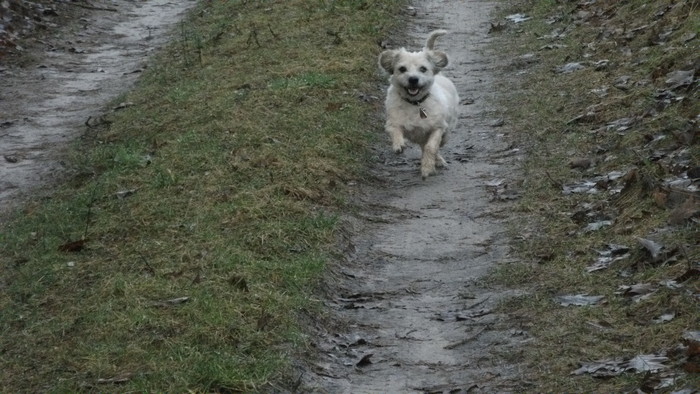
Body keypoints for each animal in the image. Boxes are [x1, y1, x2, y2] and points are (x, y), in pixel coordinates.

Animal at [378, 30, 460, 179]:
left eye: (423, 69)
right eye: (402, 69)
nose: (413, 79)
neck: (415, 104)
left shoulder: (437, 128)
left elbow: (431, 147)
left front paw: (427, 167)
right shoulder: (393, 122)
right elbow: (395, 130)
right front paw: (399, 145)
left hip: (447, 131)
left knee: (437, 143)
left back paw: (437, 160)